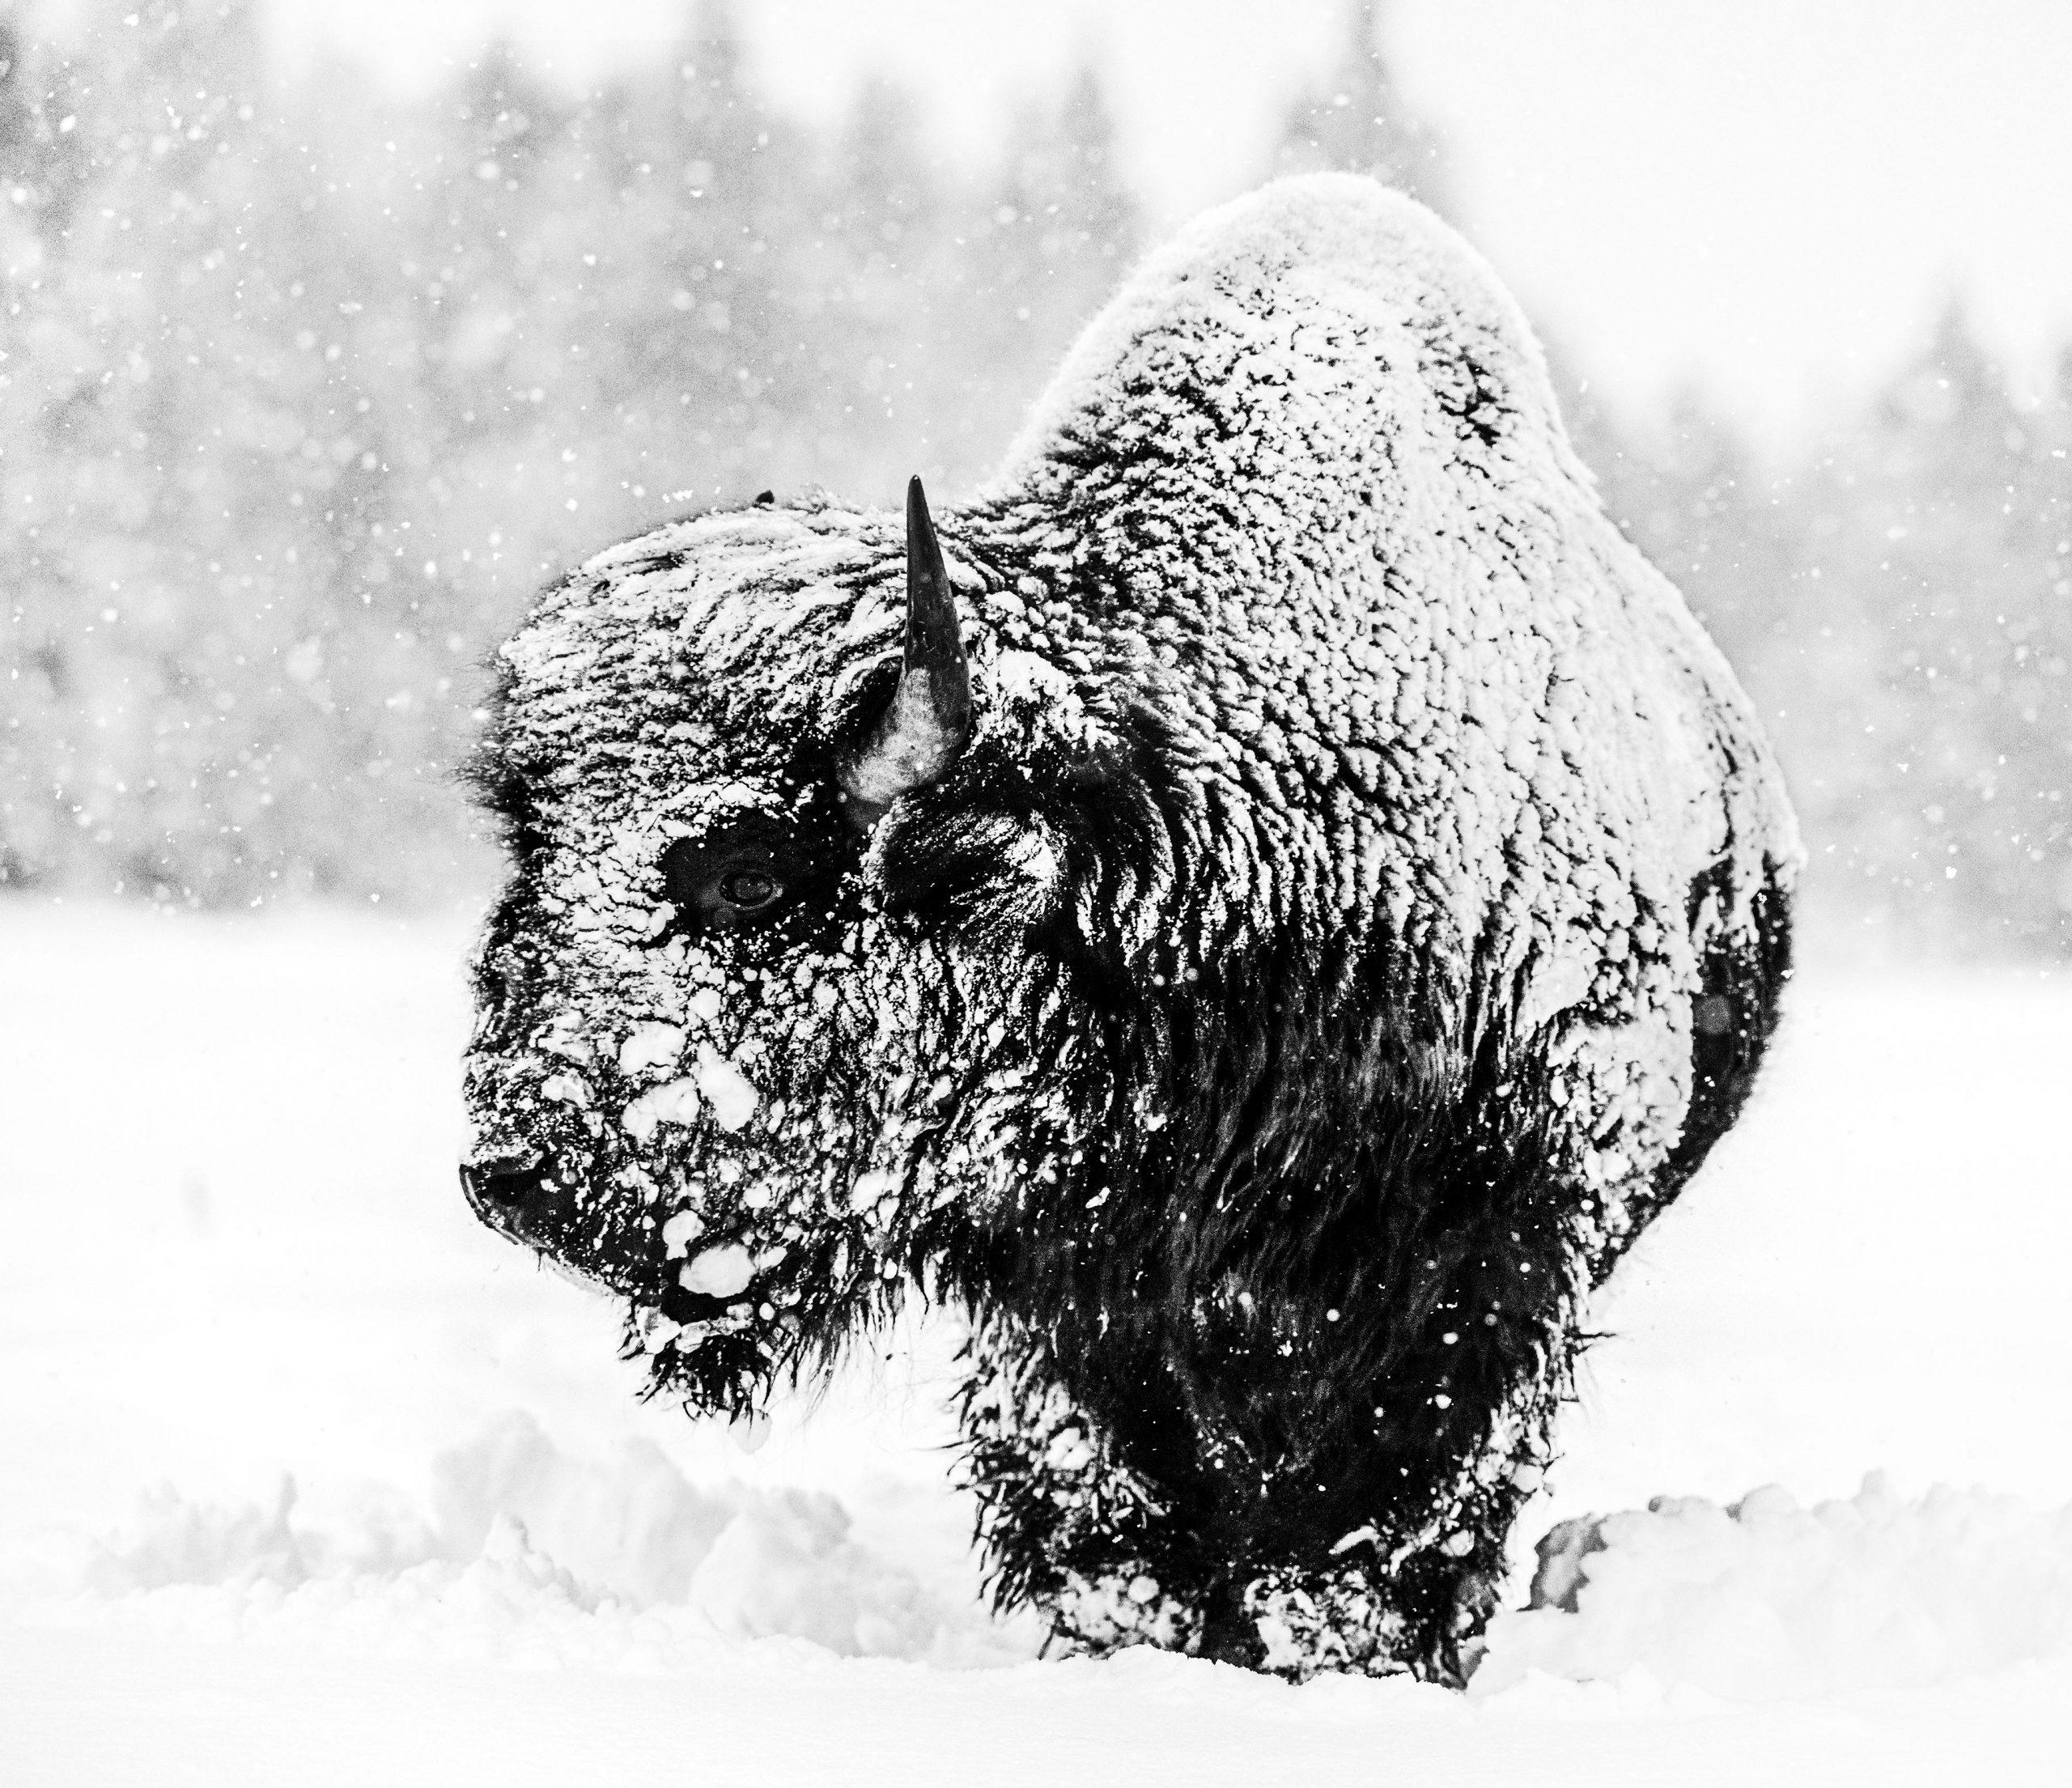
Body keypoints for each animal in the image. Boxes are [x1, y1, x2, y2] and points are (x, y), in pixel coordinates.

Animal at [461, 173, 1798, 1682]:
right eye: (535, 850)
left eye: (750, 871)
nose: (513, 1174)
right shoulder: (1065, 1305)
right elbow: (1115, 1518)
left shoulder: (1488, 1264)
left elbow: (1383, 1526)